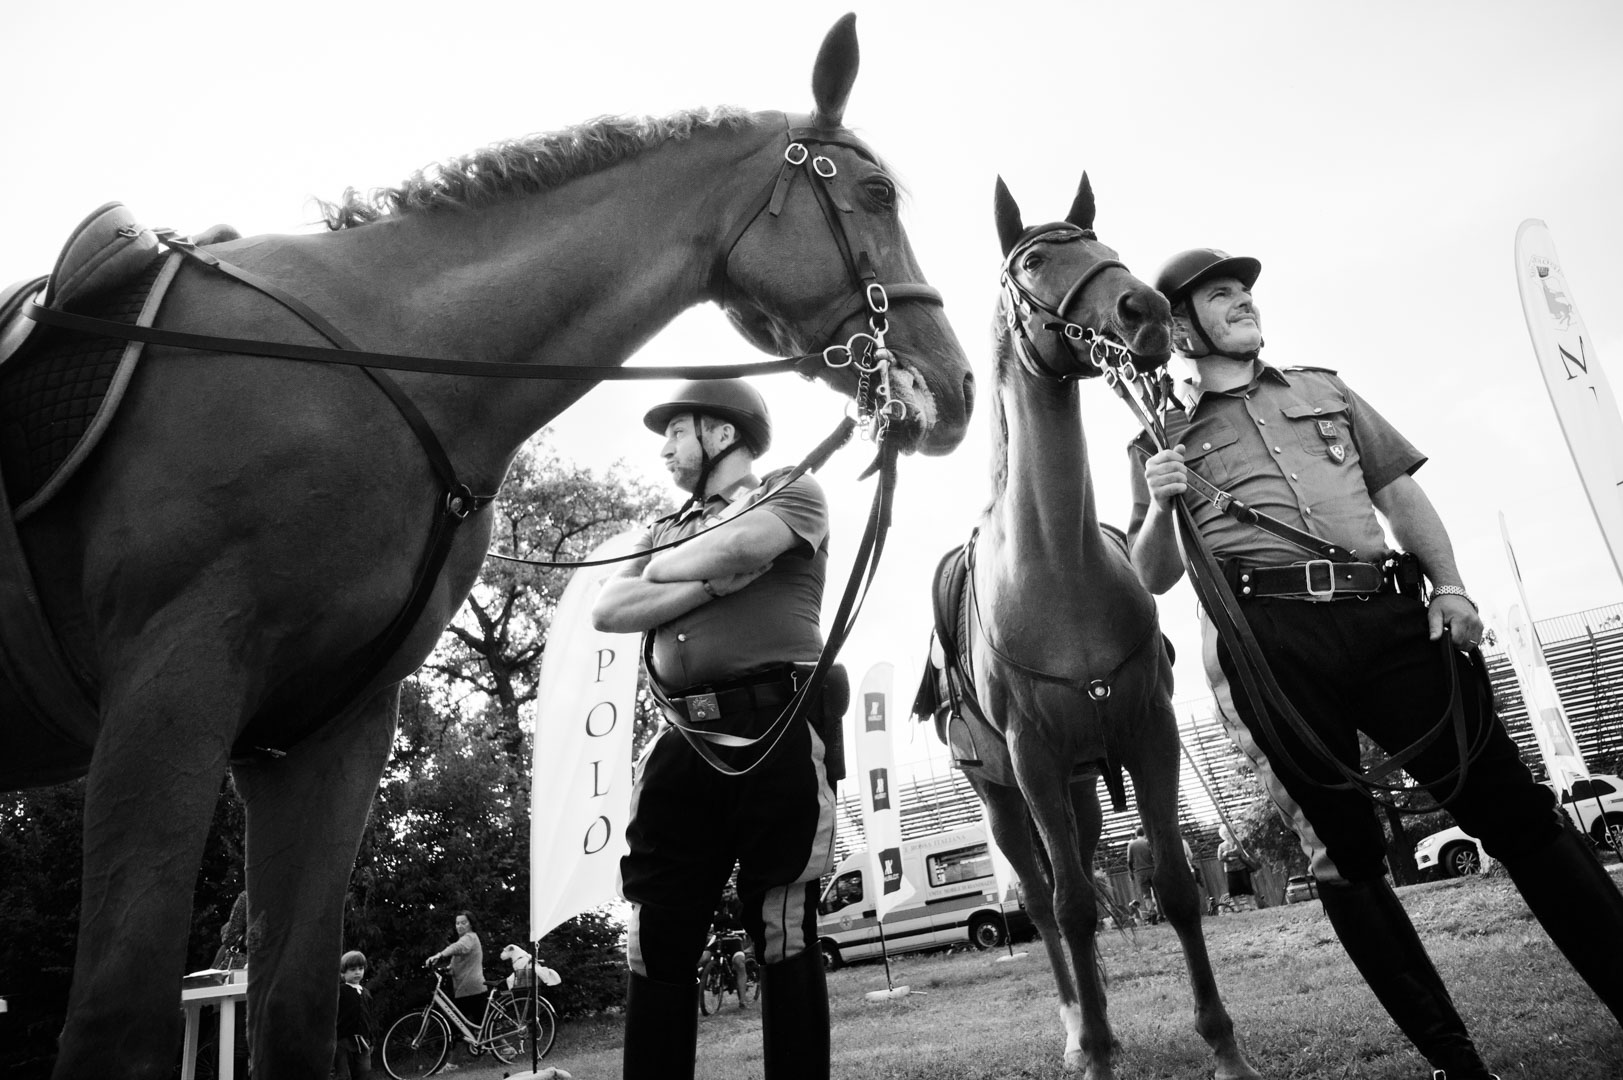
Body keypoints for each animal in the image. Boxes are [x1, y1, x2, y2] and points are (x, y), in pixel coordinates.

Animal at [0, 16, 967, 1078]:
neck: (363, 364)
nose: (956, 385)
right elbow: (119, 1016)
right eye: (875, 194)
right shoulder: (170, 693)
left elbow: (292, 1010)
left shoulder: (326, 736)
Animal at [941, 172, 1265, 1071]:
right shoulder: (1032, 762)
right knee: (1044, 900)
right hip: (1001, 795)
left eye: (1103, 242)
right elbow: (1073, 908)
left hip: (1083, 786)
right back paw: (1074, 1024)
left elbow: (1175, 888)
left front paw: (1222, 1044)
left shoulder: (1149, 734)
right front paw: (1090, 1051)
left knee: (1080, 871)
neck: (1056, 566)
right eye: (1034, 260)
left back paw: (1101, 1016)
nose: (1142, 308)